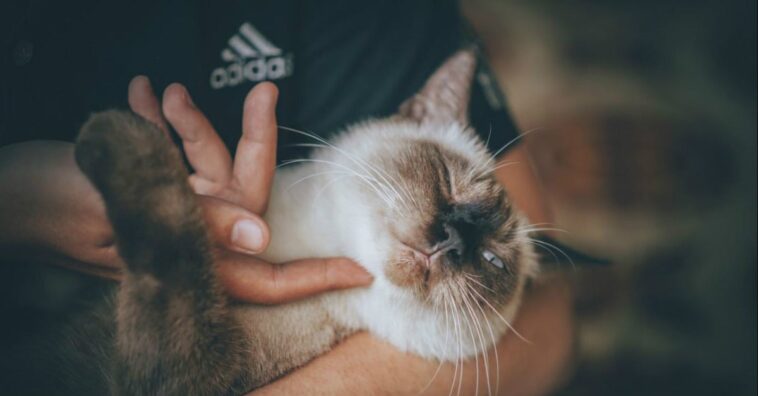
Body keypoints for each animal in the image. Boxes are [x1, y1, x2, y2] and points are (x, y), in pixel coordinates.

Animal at [68, 50, 536, 396]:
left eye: (492, 260)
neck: (314, 240)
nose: (454, 240)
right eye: (449, 182)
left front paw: (114, 131)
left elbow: (175, 237)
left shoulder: (196, 369)